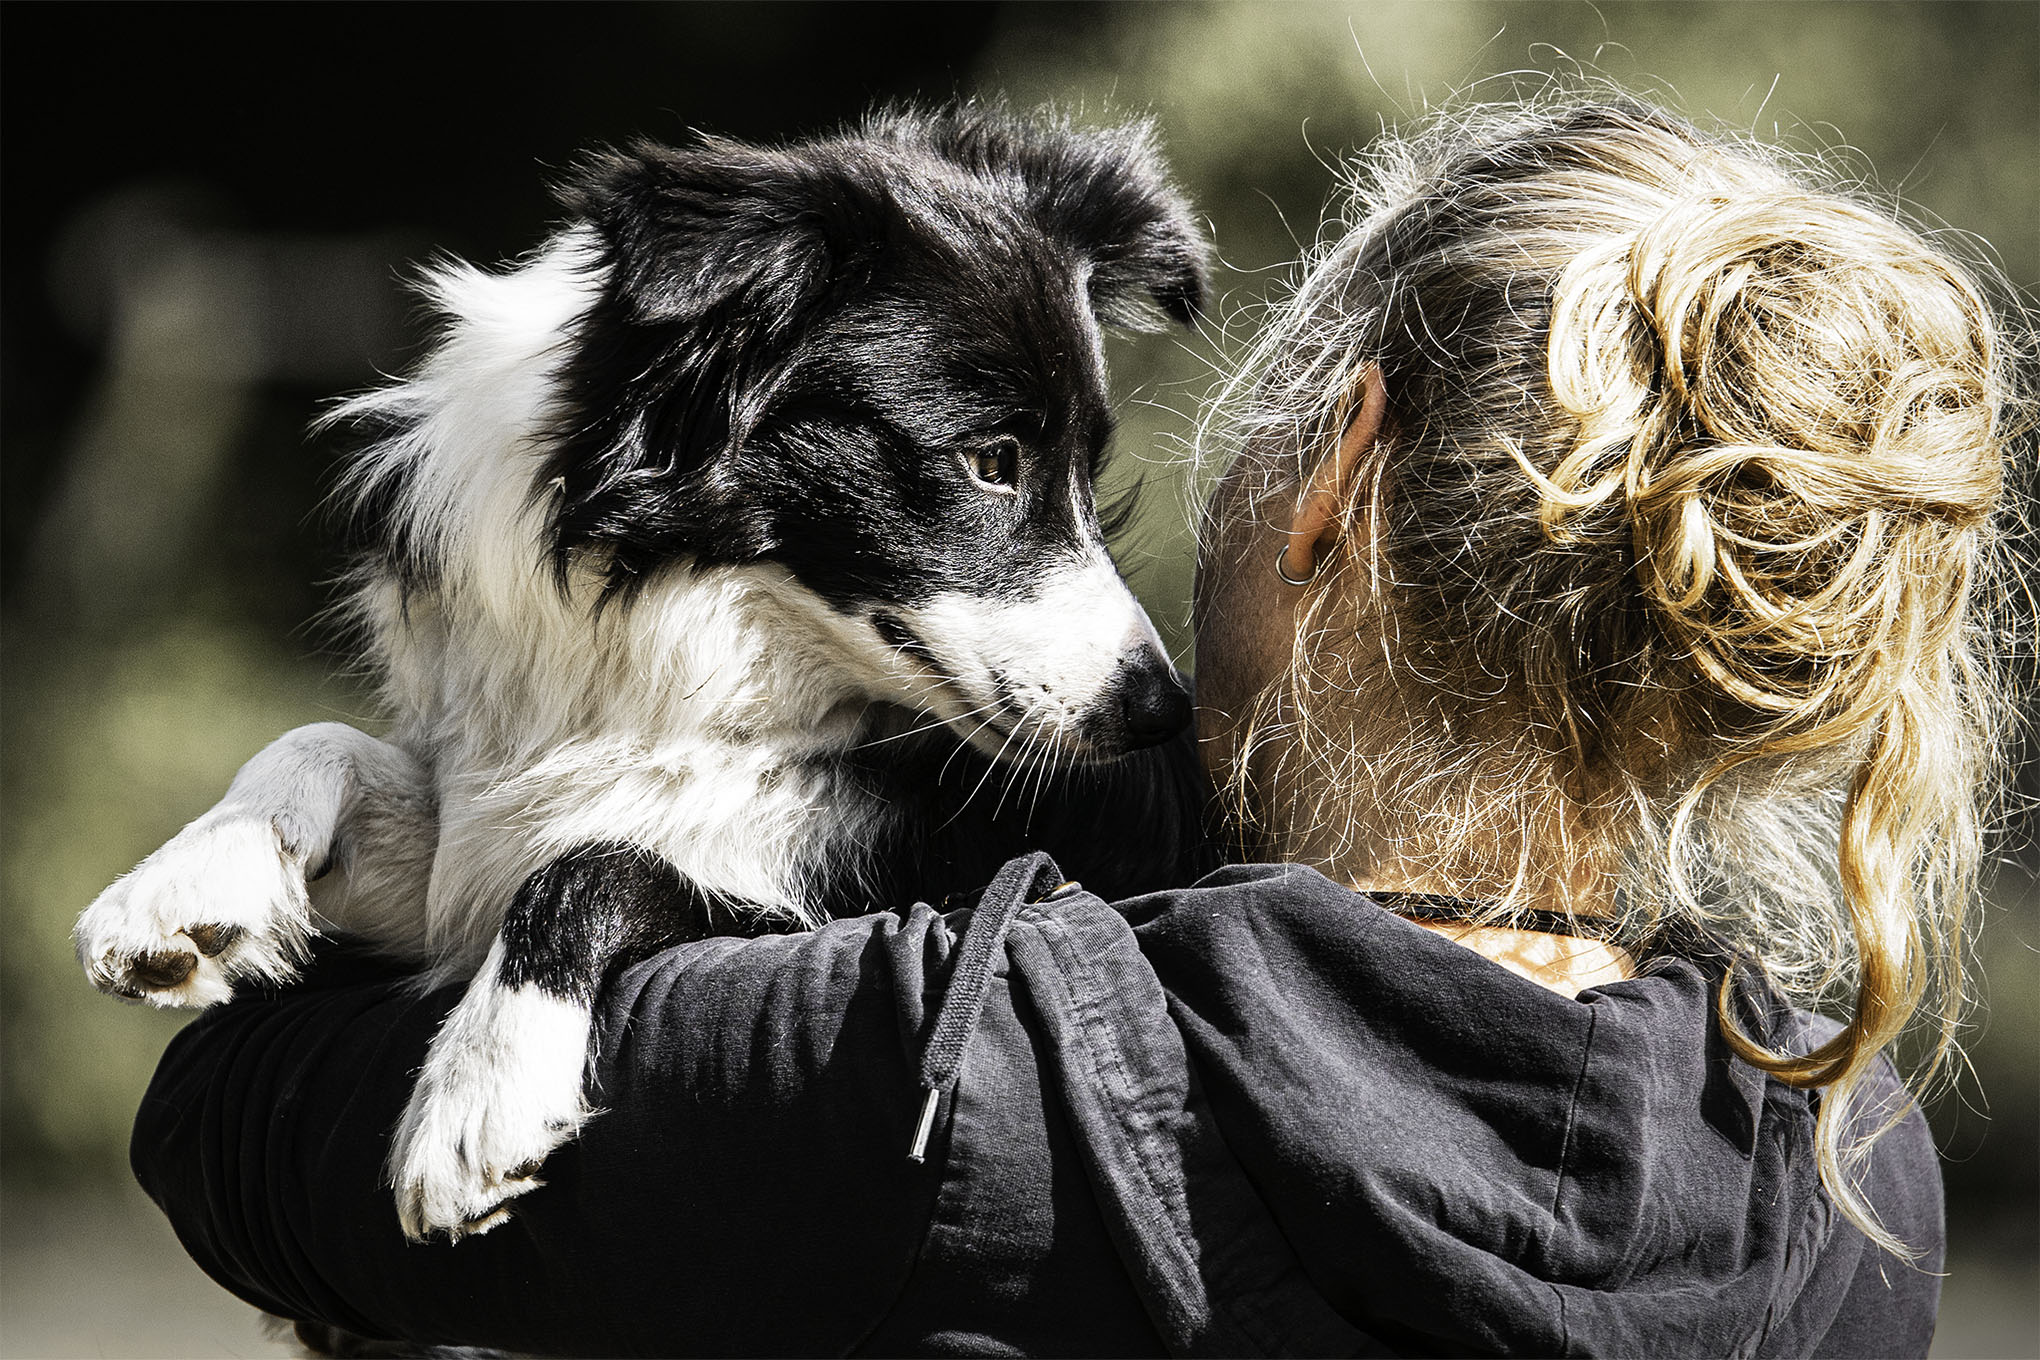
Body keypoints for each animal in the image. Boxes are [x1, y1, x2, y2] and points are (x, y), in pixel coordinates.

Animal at [71, 106, 1207, 1247]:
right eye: (991, 460)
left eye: (1087, 470)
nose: (1162, 711)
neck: (702, 638)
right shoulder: (492, 820)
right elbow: (337, 752)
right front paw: (185, 883)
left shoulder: (896, 890)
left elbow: (593, 863)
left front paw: (479, 1092)